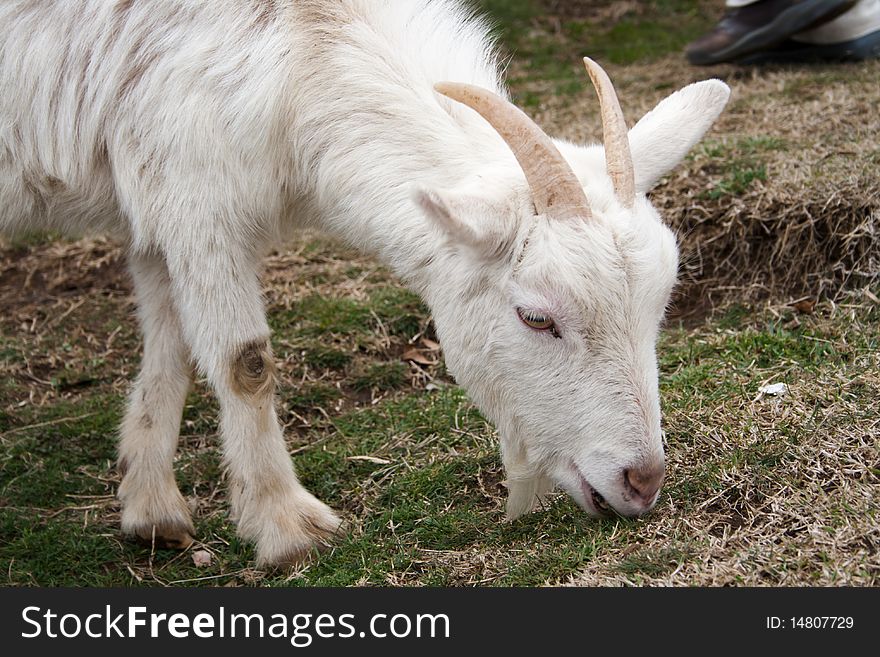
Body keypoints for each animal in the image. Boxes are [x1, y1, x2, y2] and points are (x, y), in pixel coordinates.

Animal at [0, 0, 728, 564]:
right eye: (537, 317)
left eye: (658, 307)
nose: (642, 480)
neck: (304, 45)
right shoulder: (194, 191)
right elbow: (245, 363)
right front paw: (286, 527)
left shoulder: (157, 202)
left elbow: (171, 344)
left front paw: (151, 508)